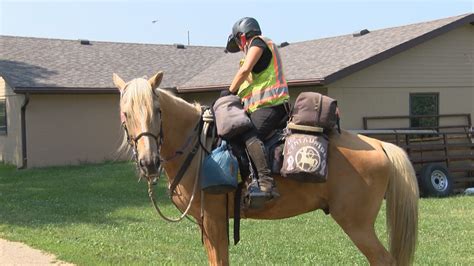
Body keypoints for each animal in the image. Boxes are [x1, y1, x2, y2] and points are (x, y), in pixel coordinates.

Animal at [114, 71, 418, 264]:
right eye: (125, 113)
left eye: (157, 111)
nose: (149, 162)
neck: (198, 146)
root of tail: (379, 145)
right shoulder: (210, 223)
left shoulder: (213, 220)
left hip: (357, 225)